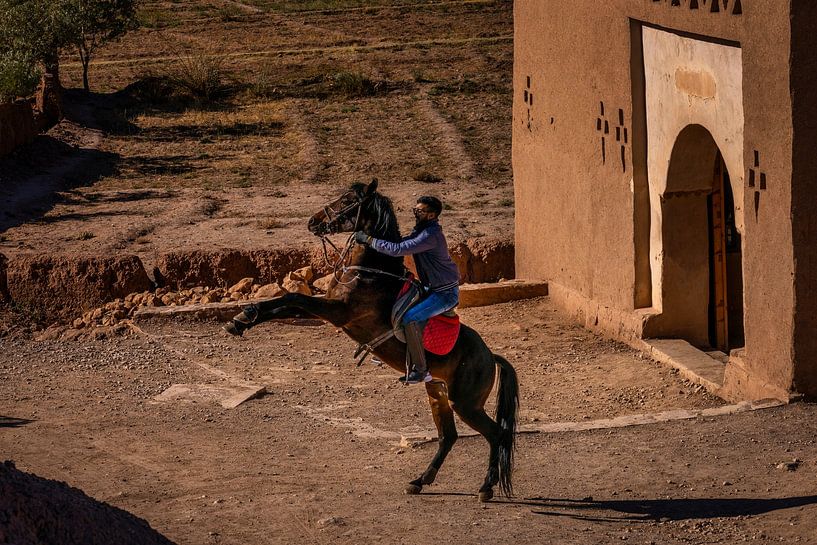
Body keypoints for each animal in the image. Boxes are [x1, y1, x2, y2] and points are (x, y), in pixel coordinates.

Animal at [225, 179, 519, 502]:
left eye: (347, 201)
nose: (313, 221)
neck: (368, 273)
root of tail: (490, 356)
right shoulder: (327, 308)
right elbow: (286, 304)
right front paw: (241, 319)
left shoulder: (338, 312)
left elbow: (293, 298)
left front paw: (244, 316)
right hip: (437, 392)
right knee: (448, 437)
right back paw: (419, 481)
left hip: (466, 404)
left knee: (496, 434)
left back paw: (486, 488)